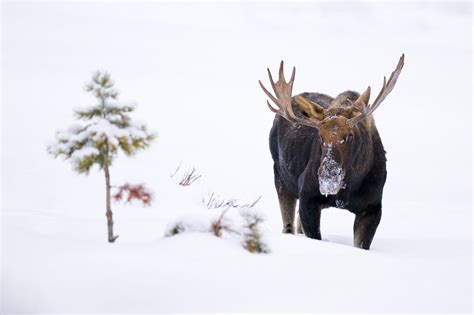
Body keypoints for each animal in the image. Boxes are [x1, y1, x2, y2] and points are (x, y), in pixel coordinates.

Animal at [260, 55, 404, 251]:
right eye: (320, 135)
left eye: (349, 135)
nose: (328, 176)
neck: (348, 188)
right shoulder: (308, 197)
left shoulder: (373, 207)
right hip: (280, 176)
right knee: (288, 225)